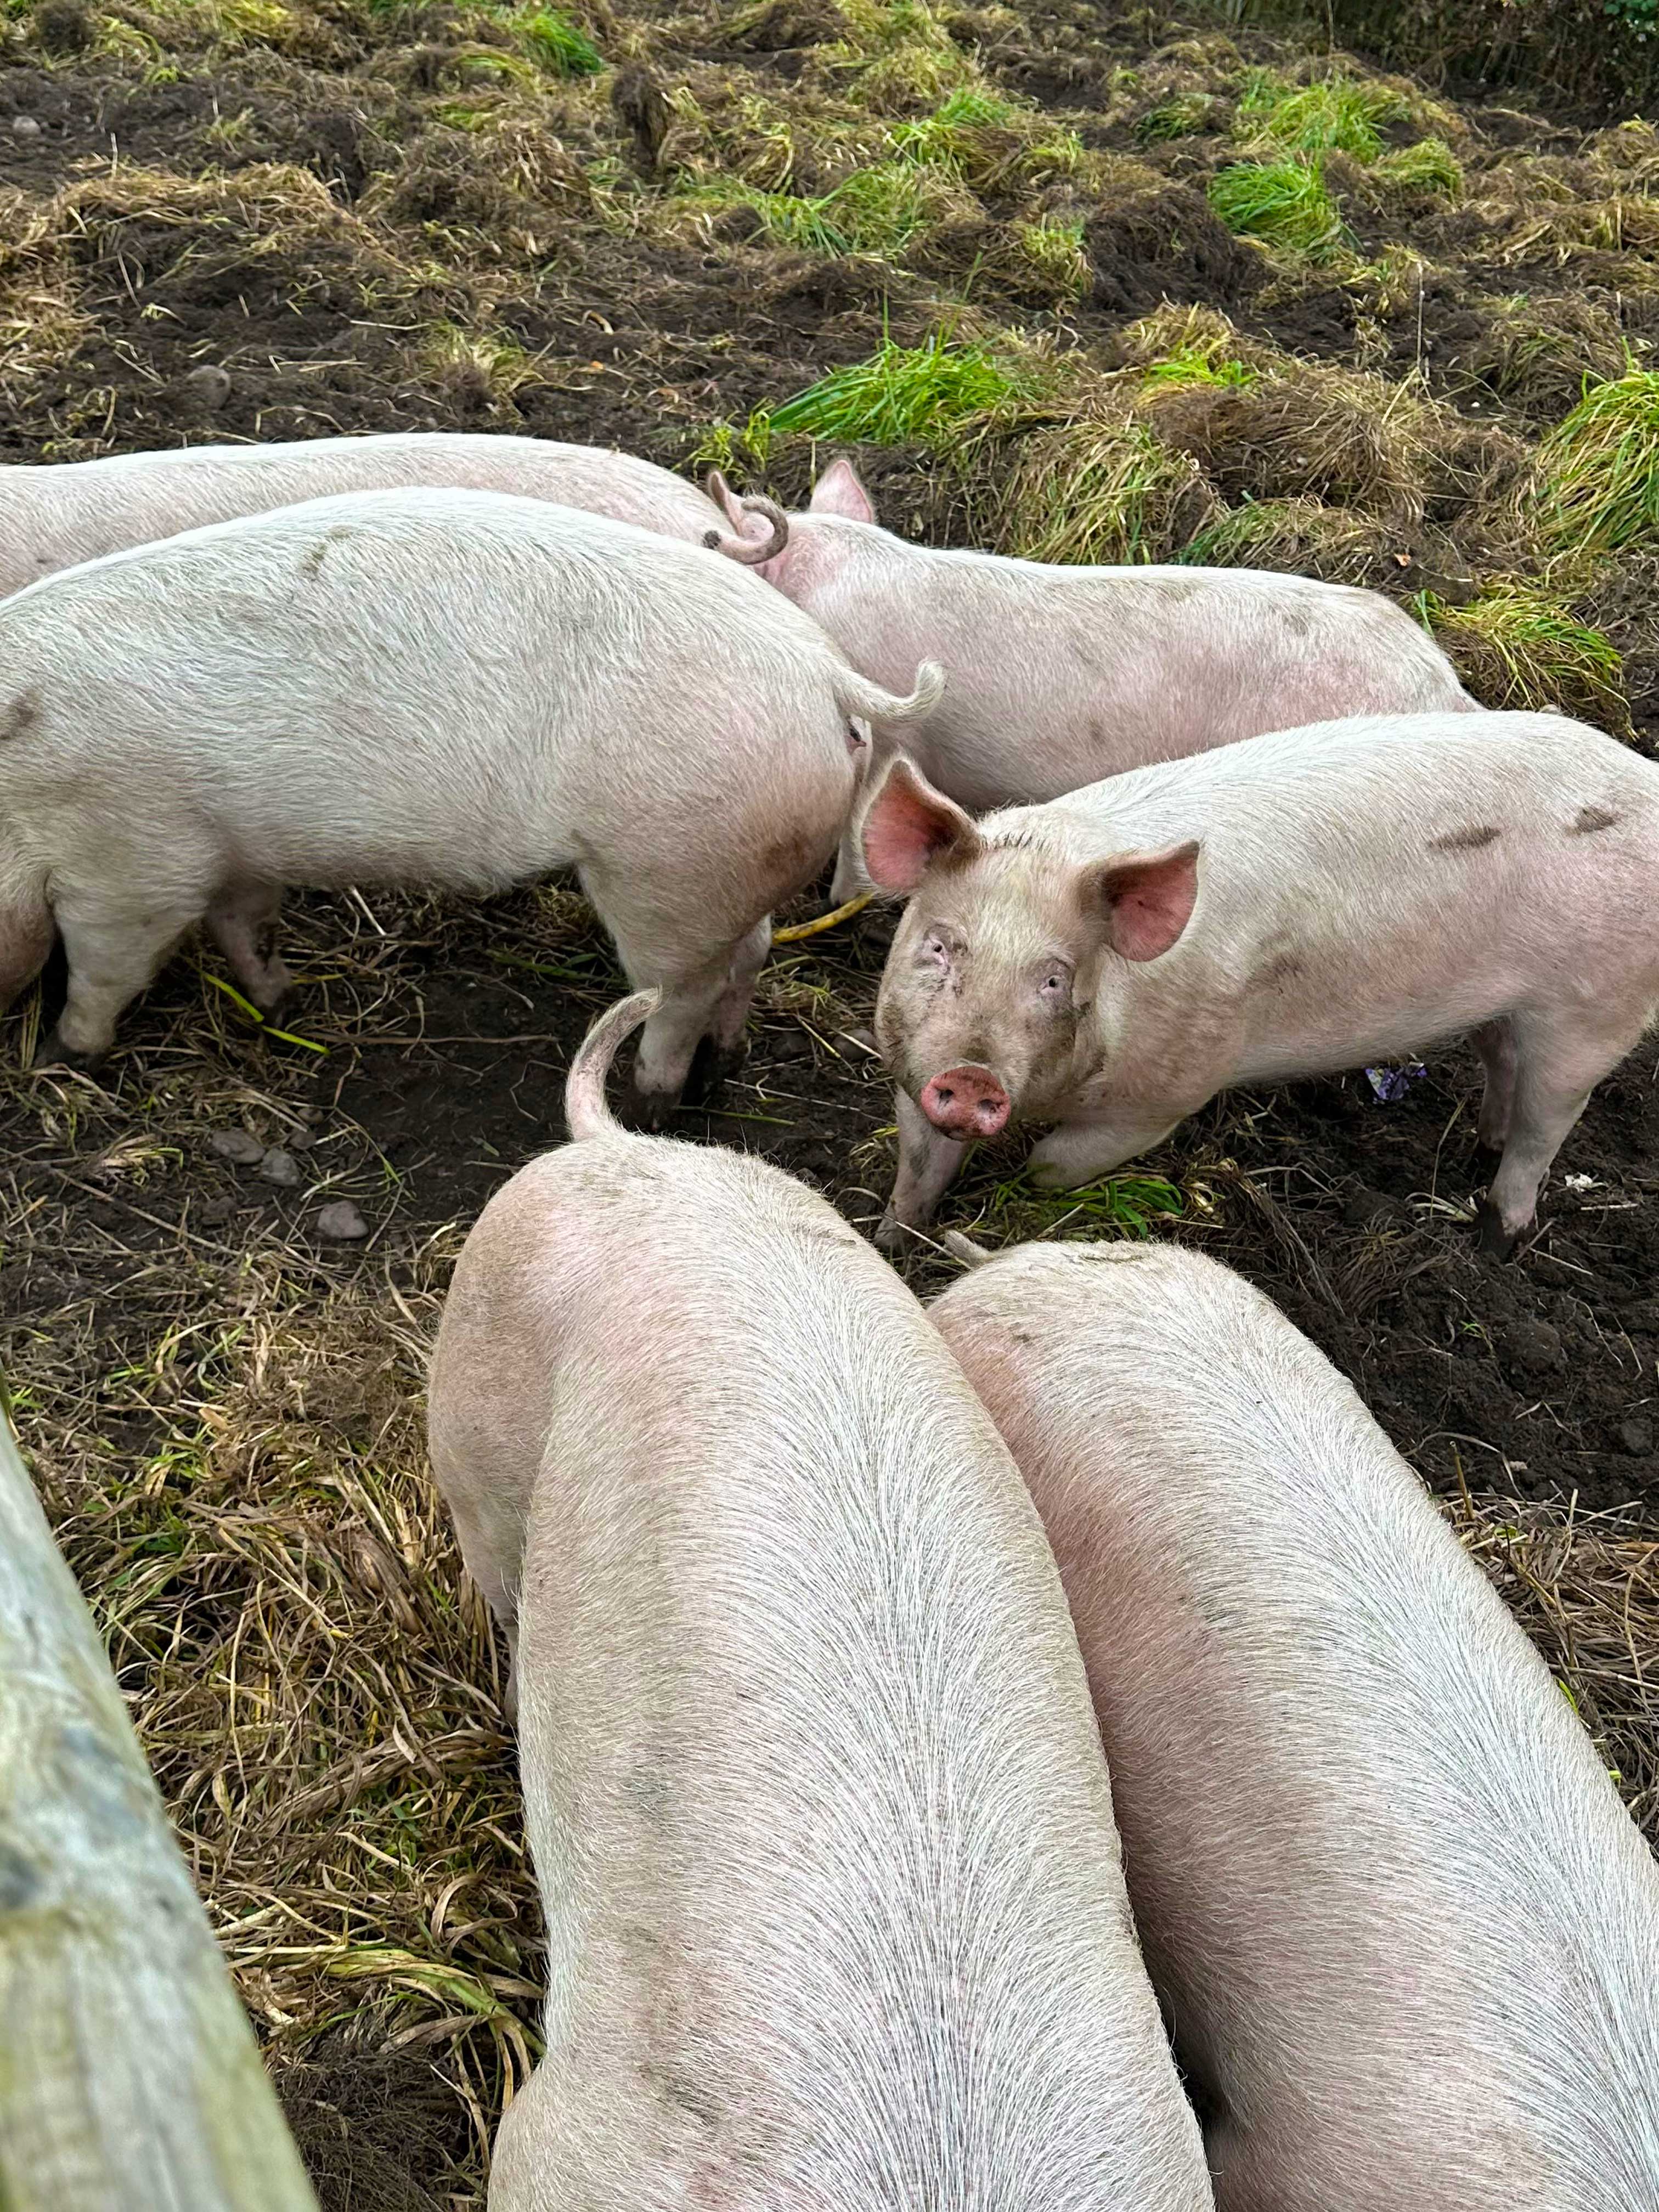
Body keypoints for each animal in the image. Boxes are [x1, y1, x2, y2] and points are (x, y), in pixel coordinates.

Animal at [0, 487, 941, 1112]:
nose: (27, 1051)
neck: (24, 798)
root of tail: (825, 671)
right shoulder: (232, 847)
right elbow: (246, 922)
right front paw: (278, 1003)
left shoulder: (131, 861)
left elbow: (106, 969)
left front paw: (62, 1055)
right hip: (722, 867)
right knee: (751, 953)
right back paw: (726, 1064)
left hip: (666, 869)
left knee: (680, 994)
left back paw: (652, 1098)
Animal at [858, 707, 1659, 1256]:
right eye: (940, 946)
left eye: (1055, 978)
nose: (972, 1076)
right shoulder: (908, 1061)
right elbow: (920, 1163)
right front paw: (893, 1239)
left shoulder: (1166, 1096)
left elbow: (1054, 1166)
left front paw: (1018, 1198)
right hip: (1510, 1005)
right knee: (1504, 1064)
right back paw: (1480, 1148)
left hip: (1597, 1005)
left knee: (1548, 1123)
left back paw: (1497, 1236)